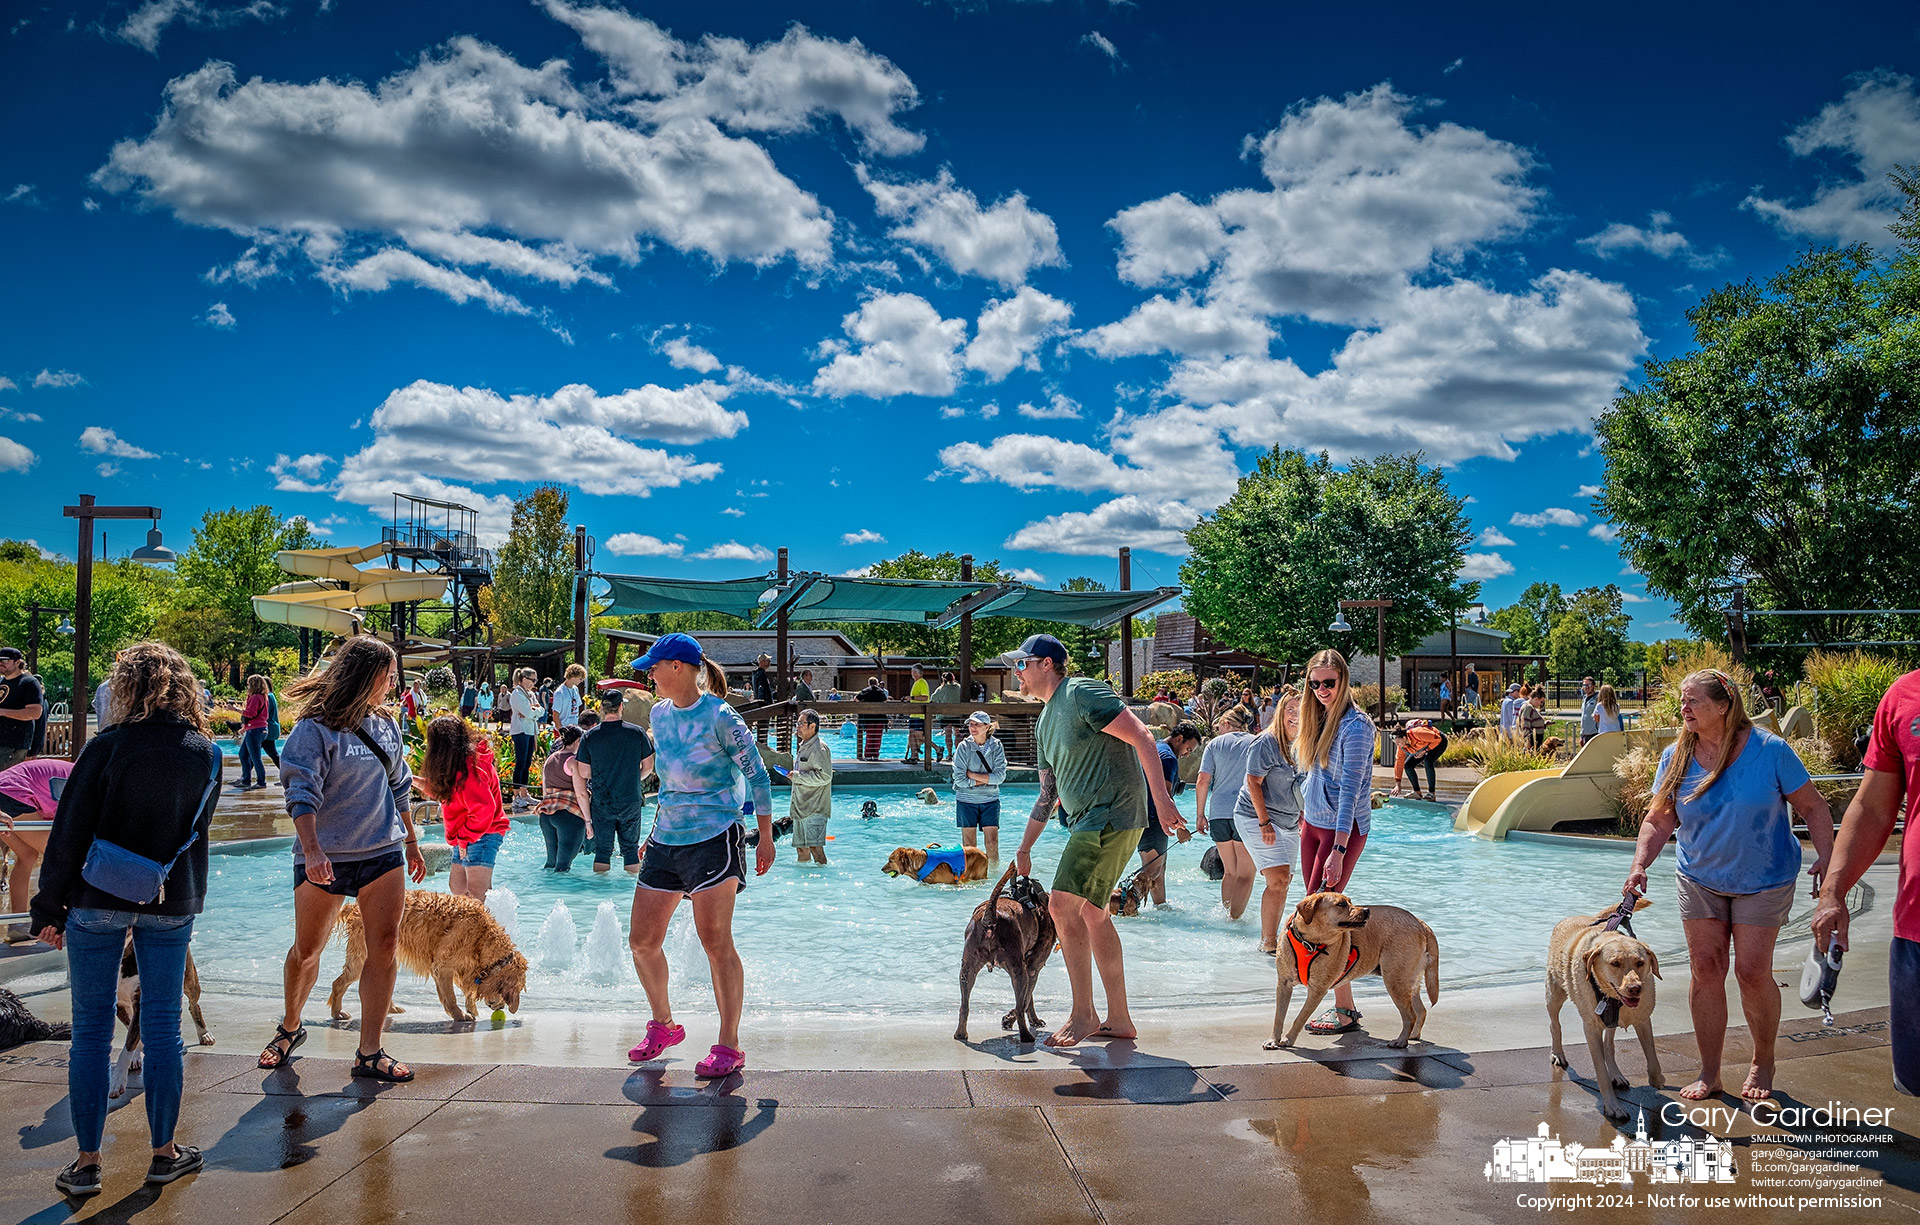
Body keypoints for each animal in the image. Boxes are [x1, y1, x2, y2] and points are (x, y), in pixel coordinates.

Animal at [330, 890, 526, 1029]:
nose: (501, 1009)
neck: (483, 937)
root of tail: (355, 908)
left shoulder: (461, 968)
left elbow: (467, 989)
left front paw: (470, 1007)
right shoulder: (443, 967)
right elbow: (450, 997)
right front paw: (460, 1015)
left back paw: (390, 1008)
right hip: (362, 959)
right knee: (338, 983)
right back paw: (337, 1012)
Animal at [952, 864, 1059, 1044]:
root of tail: (990, 917)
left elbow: (1028, 999)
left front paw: (1032, 1020)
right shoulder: (1032, 969)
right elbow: (1025, 1001)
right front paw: (1013, 1020)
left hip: (967, 969)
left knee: (964, 1006)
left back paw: (960, 1034)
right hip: (1018, 971)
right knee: (1020, 1005)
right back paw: (1026, 1036)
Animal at [1267, 890, 1436, 1059]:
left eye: (1350, 901)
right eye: (1341, 904)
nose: (1367, 910)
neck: (1309, 942)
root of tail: (1420, 922)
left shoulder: (1317, 991)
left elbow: (1300, 1018)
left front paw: (1288, 1039)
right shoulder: (1283, 985)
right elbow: (1278, 1017)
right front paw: (1273, 1040)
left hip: (1395, 980)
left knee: (1410, 1015)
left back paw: (1401, 1041)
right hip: (1407, 981)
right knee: (1421, 1010)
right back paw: (1413, 1035)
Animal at [1543, 898, 1666, 1121]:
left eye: (1640, 962)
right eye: (1615, 963)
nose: (1635, 988)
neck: (1615, 999)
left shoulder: (1643, 1019)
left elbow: (1652, 1056)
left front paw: (1657, 1079)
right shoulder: (1591, 1028)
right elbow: (1600, 1071)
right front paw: (1613, 1106)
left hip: (1608, 1020)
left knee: (1609, 1044)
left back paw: (1616, 1074)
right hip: (1554, 994)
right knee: (1554, 1025)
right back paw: (1558, 1053)